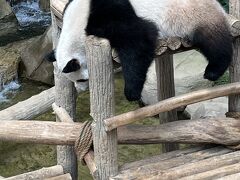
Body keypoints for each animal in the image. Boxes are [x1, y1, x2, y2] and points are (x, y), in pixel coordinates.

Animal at [47, 0, 232, 101]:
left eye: (82, 79)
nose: (82, 90)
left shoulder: (110, 13)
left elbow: (138, 41)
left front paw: (132, 93)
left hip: (194, 15)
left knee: (214, 41)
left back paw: (213, 70)